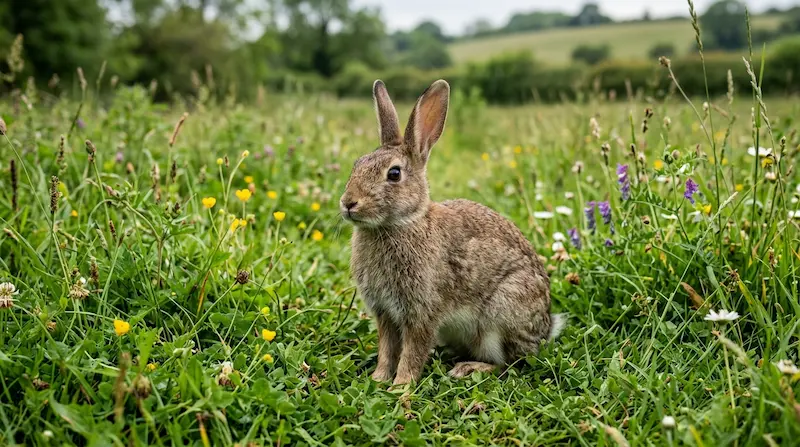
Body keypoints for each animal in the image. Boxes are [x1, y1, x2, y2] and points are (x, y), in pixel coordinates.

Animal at [339, 79, 565, 385]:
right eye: (357, 165)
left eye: (394, 174)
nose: (348, 202)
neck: (400, 224)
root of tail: (545, 329)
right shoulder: (385, 313)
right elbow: (387, 349)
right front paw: (378, 379)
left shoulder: (422, 311)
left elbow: (412, 352)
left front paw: (400, 386)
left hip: (501, 314)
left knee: (510, 363)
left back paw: (468, 368)